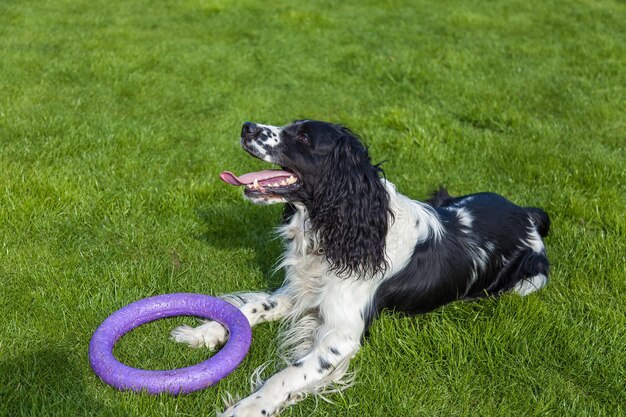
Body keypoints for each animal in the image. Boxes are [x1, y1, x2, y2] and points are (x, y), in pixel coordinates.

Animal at [171, 118, 544, 414]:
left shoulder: (340, 336)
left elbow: (286, 375)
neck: (339, 229)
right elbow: (250, 309)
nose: (246, 126)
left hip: (530, 282)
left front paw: (248, 407)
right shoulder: (300, 292)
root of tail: (527, 212)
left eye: (304, 137)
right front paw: (202, 333)